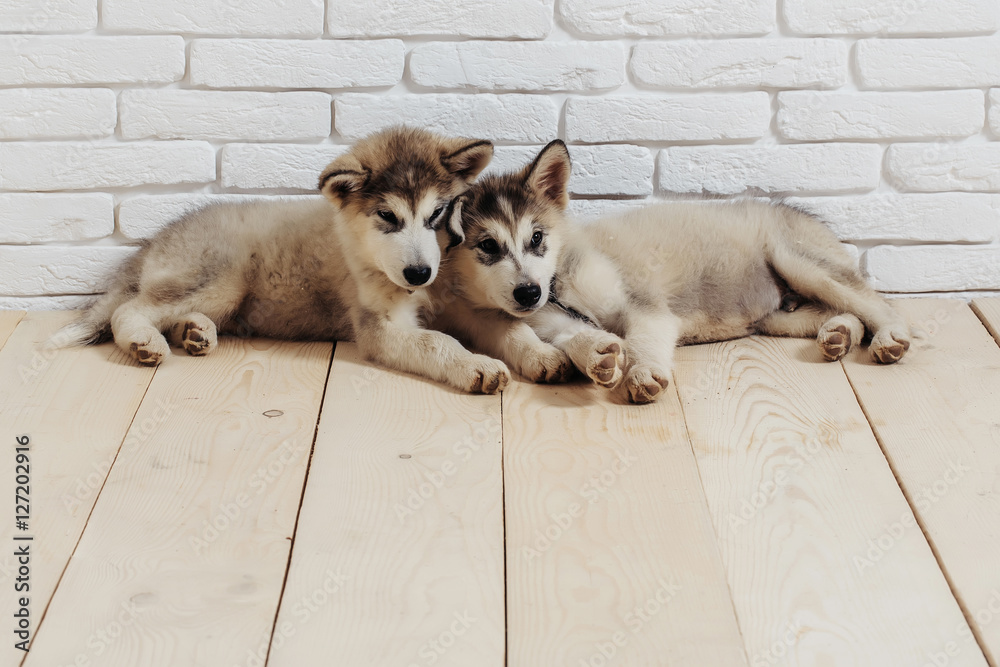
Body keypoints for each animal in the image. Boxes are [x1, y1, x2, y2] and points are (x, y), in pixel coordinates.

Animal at [57, 128, 512, 394]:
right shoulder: (378, 326)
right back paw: (145, 342)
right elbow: (436, 341)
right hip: (222, 279)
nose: (418, 274)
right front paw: (475, 365)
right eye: (387, 216)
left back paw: (195, 332)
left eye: (437, 214)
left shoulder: (464, 303)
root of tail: (158, 237)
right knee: (131, 309)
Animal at [446, 138, 916, 404]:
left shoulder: (647, 307)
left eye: (537, 238)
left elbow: (640, 340)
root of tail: (800, 213)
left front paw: (641, 372)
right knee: (843, 311)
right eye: (487, 246)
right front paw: (598, 355)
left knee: (875, 303)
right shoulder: (553, 322)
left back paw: (890, 337)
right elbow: (574, 338)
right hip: (779, 316)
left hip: (801, 264)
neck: (561, 283)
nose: (528, 294)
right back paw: (839, 335)